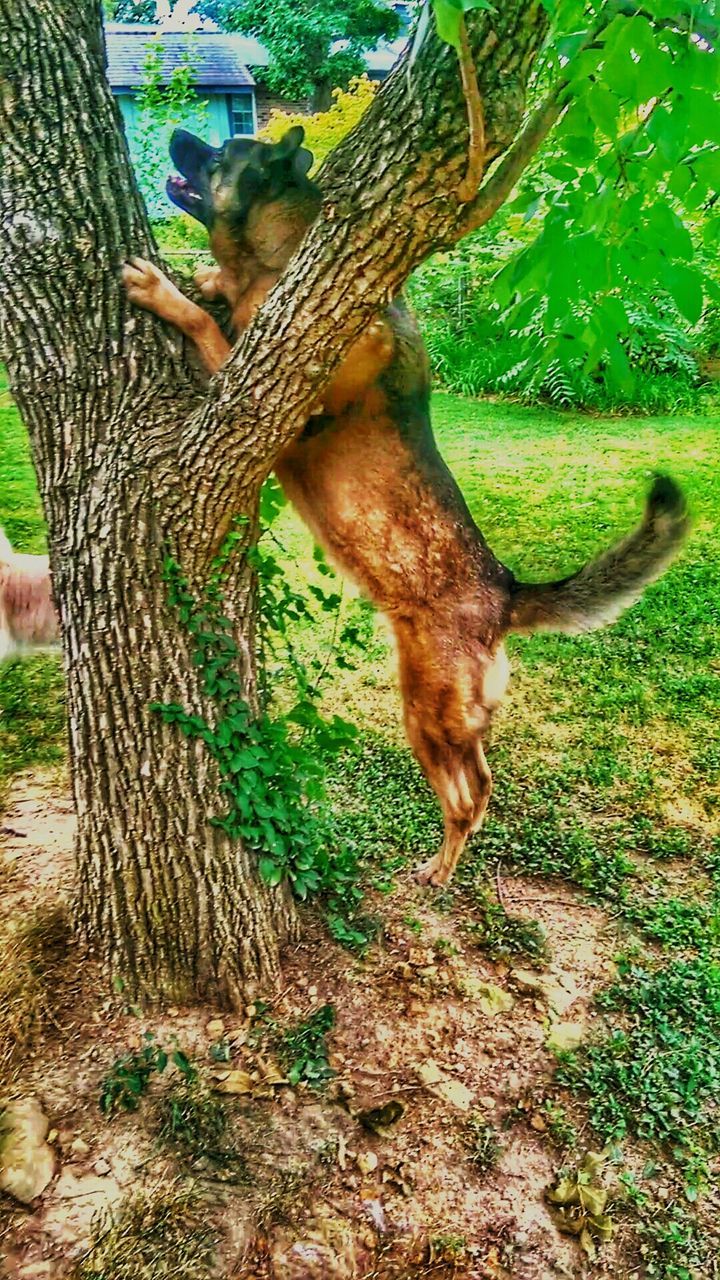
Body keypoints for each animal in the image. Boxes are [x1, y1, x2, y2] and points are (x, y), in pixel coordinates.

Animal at [121, 129, 681, 890]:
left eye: (218, 158)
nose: (175, 136)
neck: (282, 258)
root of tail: (505, 592)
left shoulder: (262, 400)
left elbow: (212, 333)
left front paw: (164, 290)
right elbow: (220, 295)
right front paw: (205, 281)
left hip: (427, 713)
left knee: (469, 794)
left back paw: (439, 869)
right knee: (484, 783)